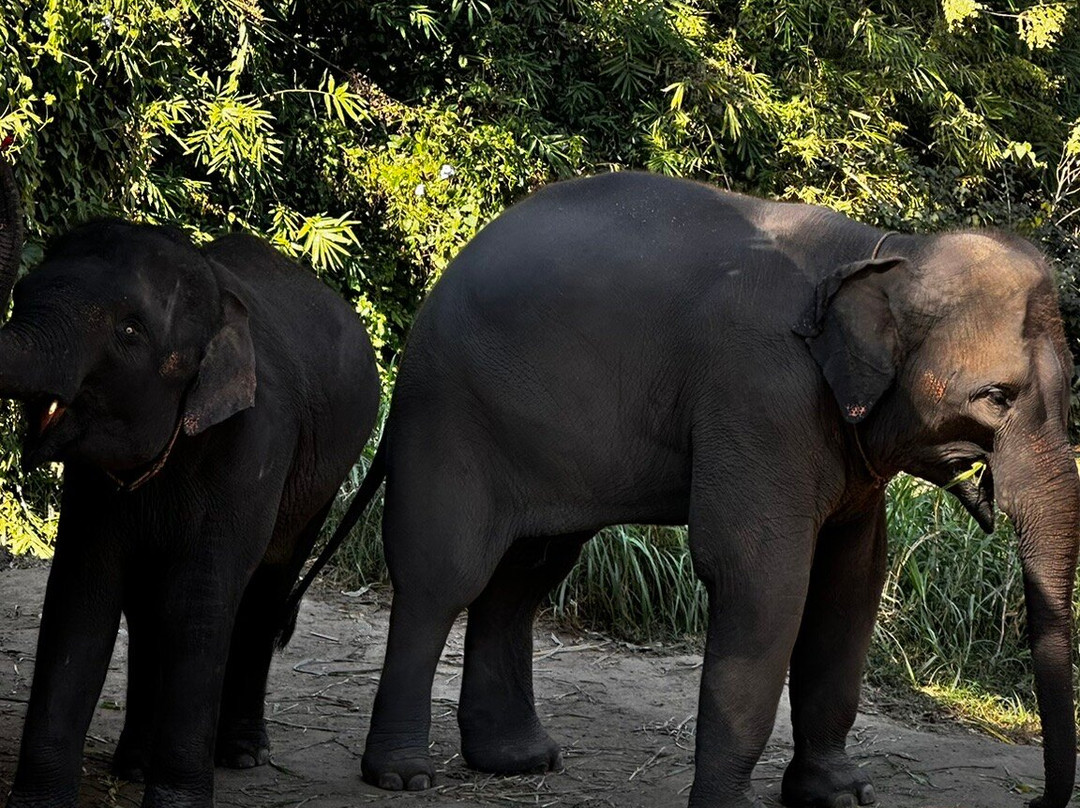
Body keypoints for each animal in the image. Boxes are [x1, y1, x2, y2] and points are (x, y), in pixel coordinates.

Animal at [0, 157, 380, 808]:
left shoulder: (256, 444)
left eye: (129, 332)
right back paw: (132, 763)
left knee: (266, 587)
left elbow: (200, 598)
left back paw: (243, 754)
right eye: (21, 294)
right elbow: (80, 592)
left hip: (324, 479)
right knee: (149, 607)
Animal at [325, 171, 1079, 807]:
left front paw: (841, 796)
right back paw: (404, 775)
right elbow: (761, 576)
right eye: (996, 396)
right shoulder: (759, 395)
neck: (884, 249)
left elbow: (851, 582)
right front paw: (729, 804)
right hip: (449, 413)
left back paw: (517, 761)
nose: (1033, 801)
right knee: (443, 575)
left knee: (525, 576)